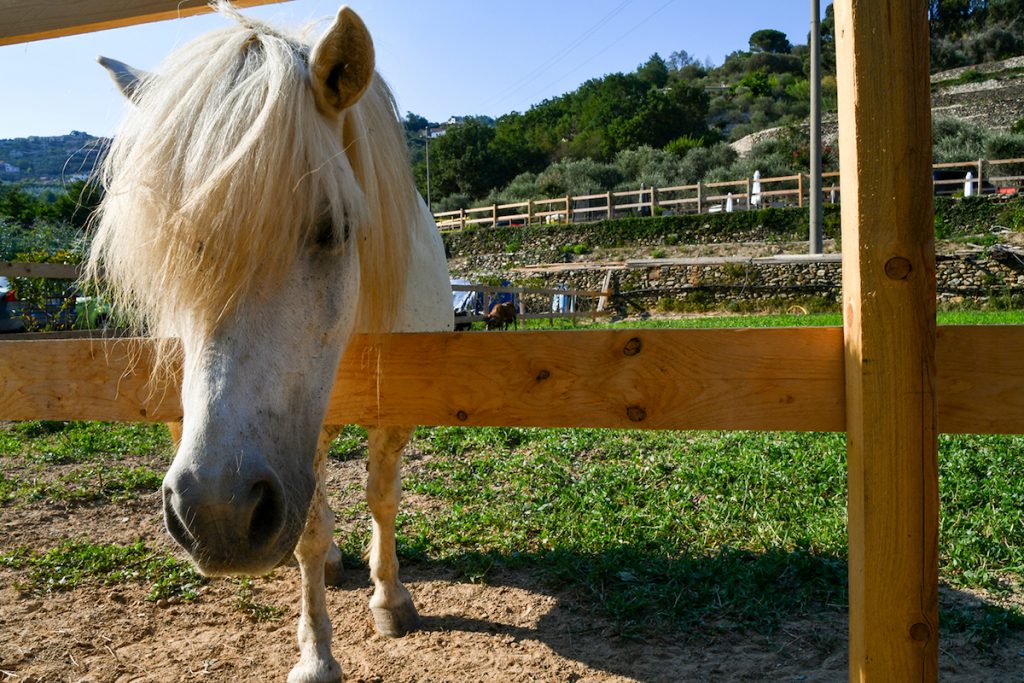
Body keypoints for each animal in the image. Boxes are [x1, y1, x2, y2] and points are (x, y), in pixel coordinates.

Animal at [90, 6, 450, 683]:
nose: (216, 518)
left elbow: (382, 497)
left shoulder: (395, 412)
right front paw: (316, 655)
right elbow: (308, 530)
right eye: (173, 249)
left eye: (334, 228)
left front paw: (390, 599)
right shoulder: (294, 445)